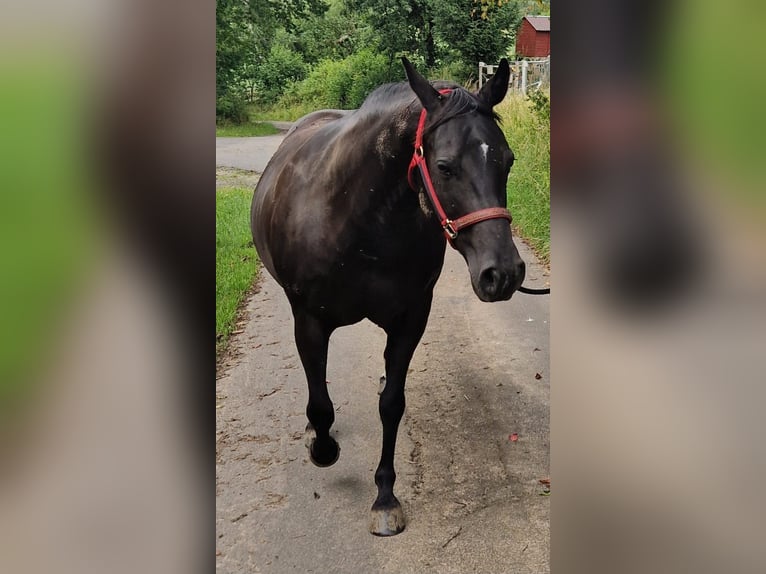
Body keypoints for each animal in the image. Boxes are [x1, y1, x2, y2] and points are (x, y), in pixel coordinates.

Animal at [250, 57, 526, 536]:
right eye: (445, 166)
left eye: (506, 161)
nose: (503, 274)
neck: (356, 218)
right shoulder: (309, 321)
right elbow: (320, 405)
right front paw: (322, 447)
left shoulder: (410, 319)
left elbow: (392, 404)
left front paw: (384, 497)